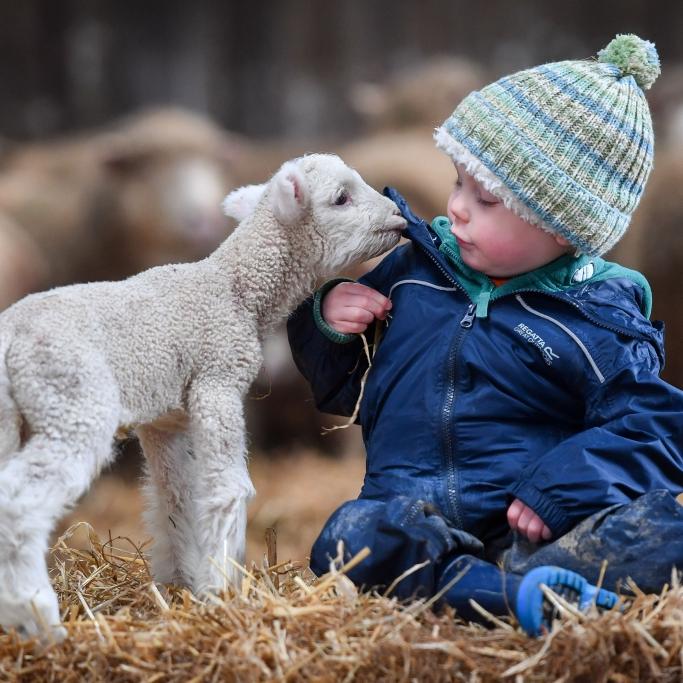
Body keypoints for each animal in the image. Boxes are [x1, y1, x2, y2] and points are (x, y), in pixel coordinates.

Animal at [0, 153, 405, 642]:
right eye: (341, 198)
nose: (399, 216)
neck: (234, 289)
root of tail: (10, 338)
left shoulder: (166, 420)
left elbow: (174, 498)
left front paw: (181, 582)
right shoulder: (218, 380)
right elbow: (227, 488)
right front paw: (222, 590)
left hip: (11, 417)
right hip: (73, 401)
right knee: (19, 504)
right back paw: (37, 616)